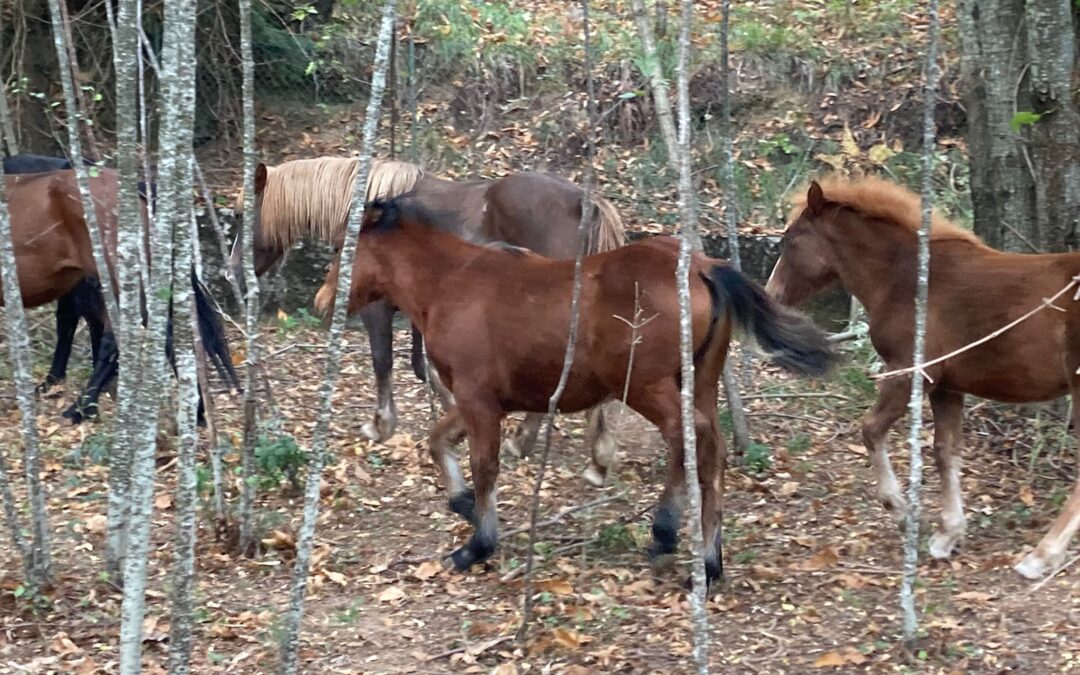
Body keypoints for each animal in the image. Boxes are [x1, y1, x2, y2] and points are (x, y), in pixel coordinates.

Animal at [228, 155, 630, 483]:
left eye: (242, 215)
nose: (230, 273)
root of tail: (584, 202)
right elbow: (426, 369)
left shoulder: (379, 309)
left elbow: (385, 361)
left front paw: (381, 425)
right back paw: (593, 459)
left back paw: (533, 444)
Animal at [336, 194, 833, 583]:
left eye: (346, 255)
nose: (328, 301)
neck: (453, 282)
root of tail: (702, 268)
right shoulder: (482, 400)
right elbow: (439, 441)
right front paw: (462, 503)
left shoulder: (478, 400)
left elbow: (484, 465)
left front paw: (477, 543)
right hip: (701, 382)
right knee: (711, 451)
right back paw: (709, 562)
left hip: (647, 388)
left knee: (689, 437)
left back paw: (667, 534)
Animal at [764, 178, 1080, 578]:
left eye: (790, 240)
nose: (771, 295)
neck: (906, 277)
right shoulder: (947, 387)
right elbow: (945, 452)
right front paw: (948, 534)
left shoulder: (910, 373)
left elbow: (871, 429)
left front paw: (902, 512)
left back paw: (1041, 556)